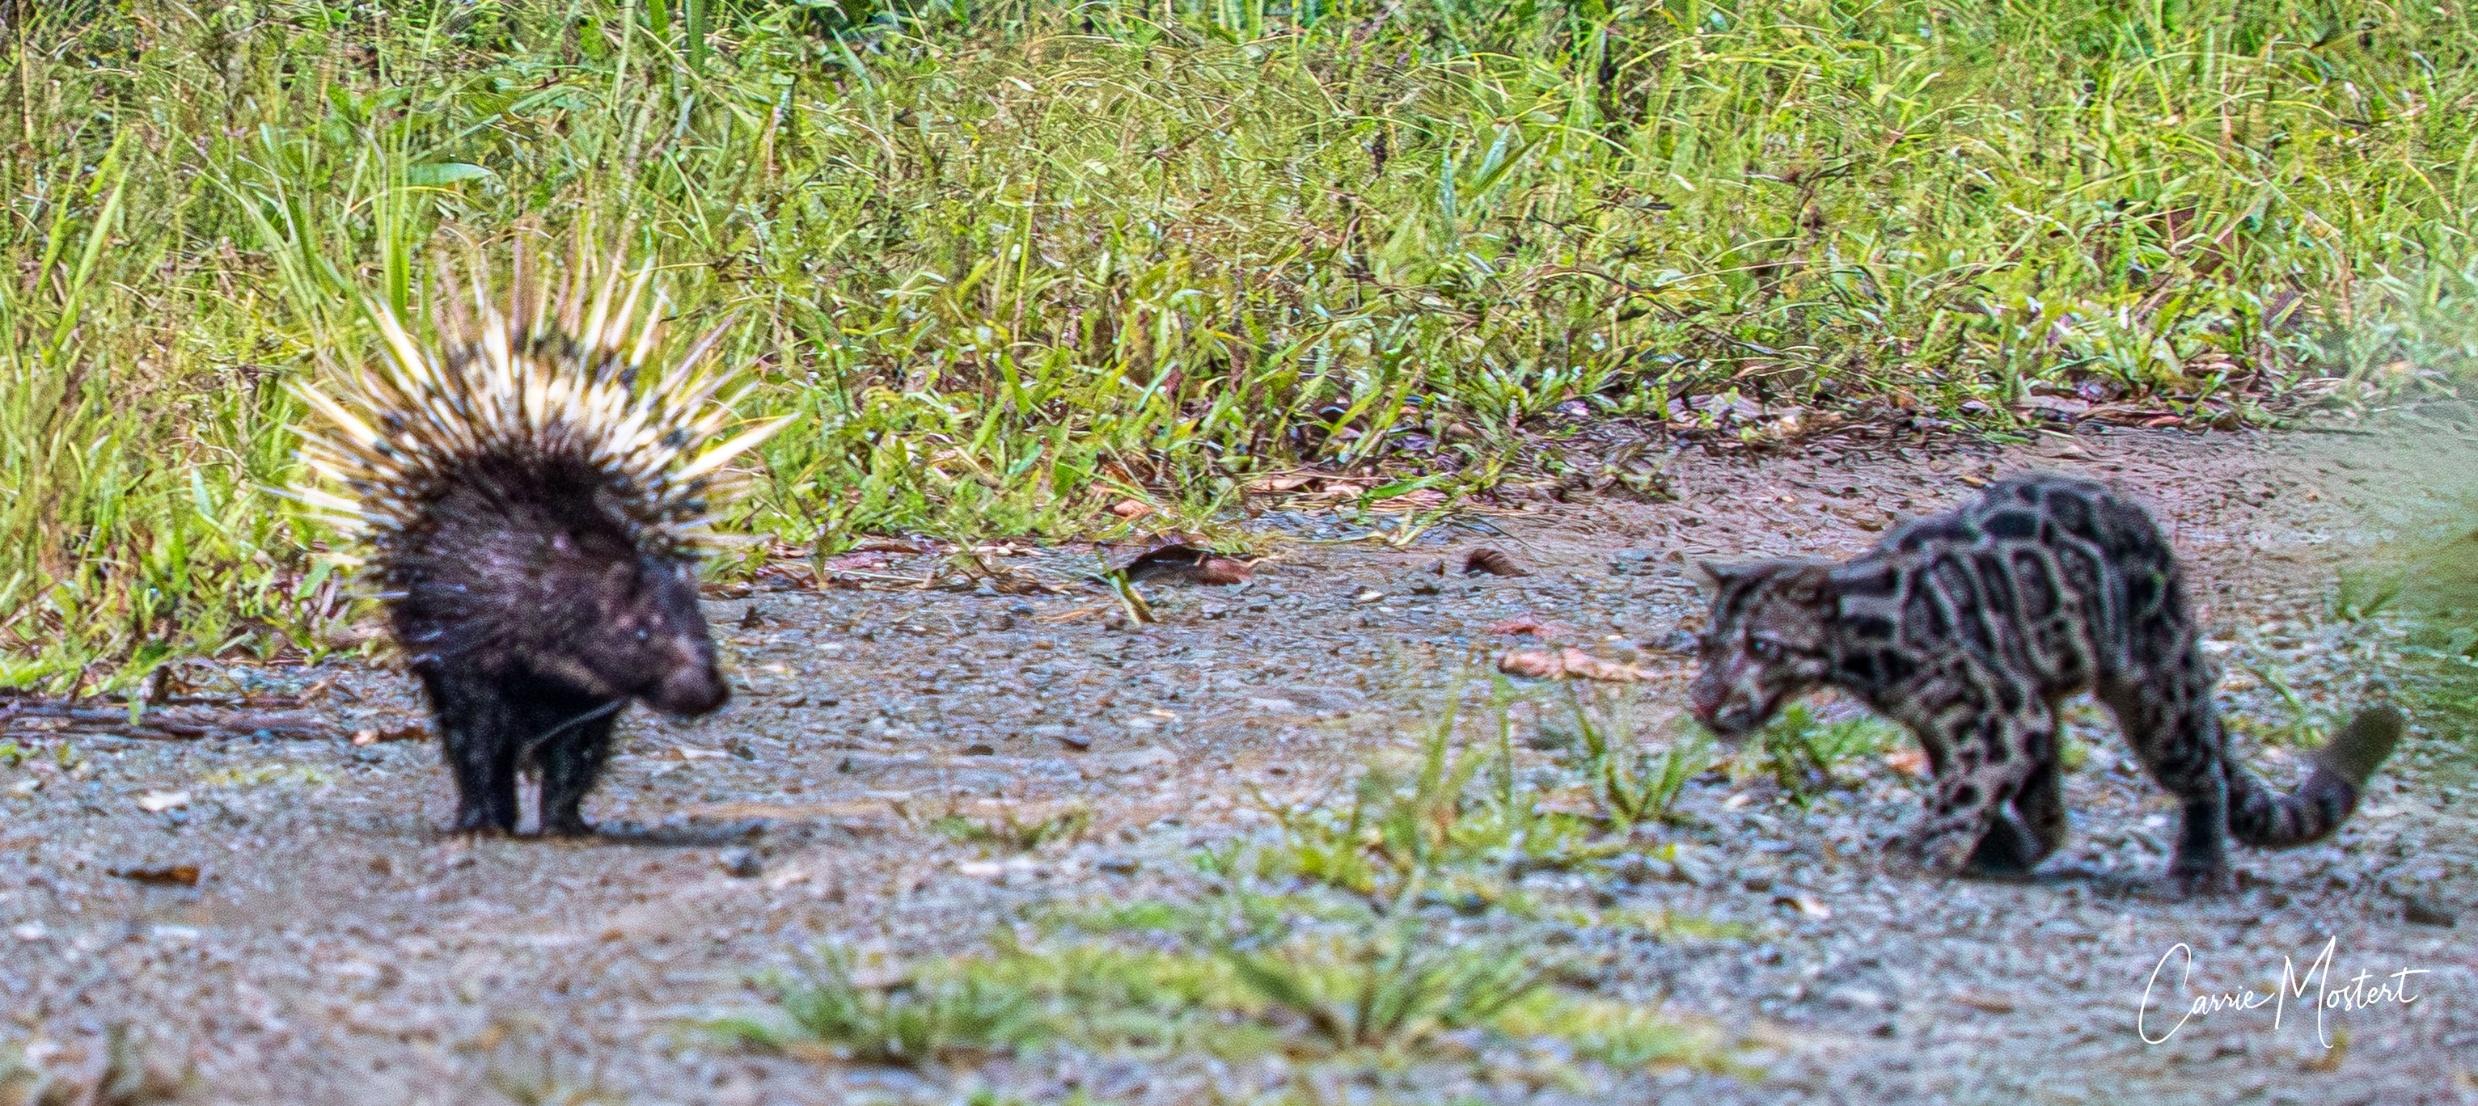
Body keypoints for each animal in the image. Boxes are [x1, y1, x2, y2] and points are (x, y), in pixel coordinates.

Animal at [1686, 471, 2404, 896]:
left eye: (1761, 646)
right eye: (1708, 645)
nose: (1705, 696)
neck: (1867, 639)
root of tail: (2149, 530)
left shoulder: (2003, 710)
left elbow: (1965, 787)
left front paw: (1925, 850)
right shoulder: (1959, 720)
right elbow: (1983, 783)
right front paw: (1990, 843)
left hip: (2157, 698)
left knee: (2205, 777)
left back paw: (2200, 867)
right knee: (2055, 800)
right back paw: (2024, 849)